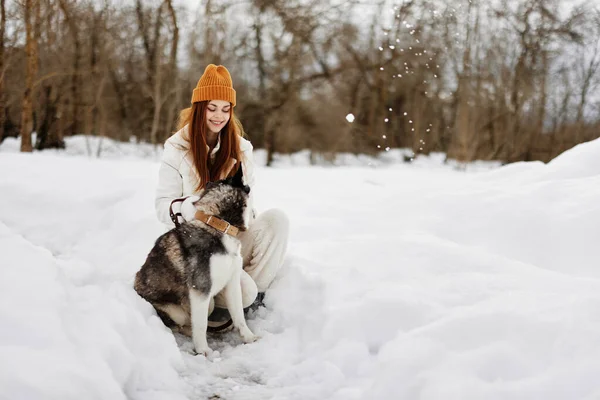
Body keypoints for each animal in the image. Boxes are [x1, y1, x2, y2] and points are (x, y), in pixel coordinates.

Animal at [135, 166, 256, 356]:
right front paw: (203, 350)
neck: (218, 224)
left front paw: (249, 337)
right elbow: (200, 325)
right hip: (177, 310)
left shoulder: (232, 283)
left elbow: (239, 316)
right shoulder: (200, 289)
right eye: (248, 187)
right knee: (181, 325)